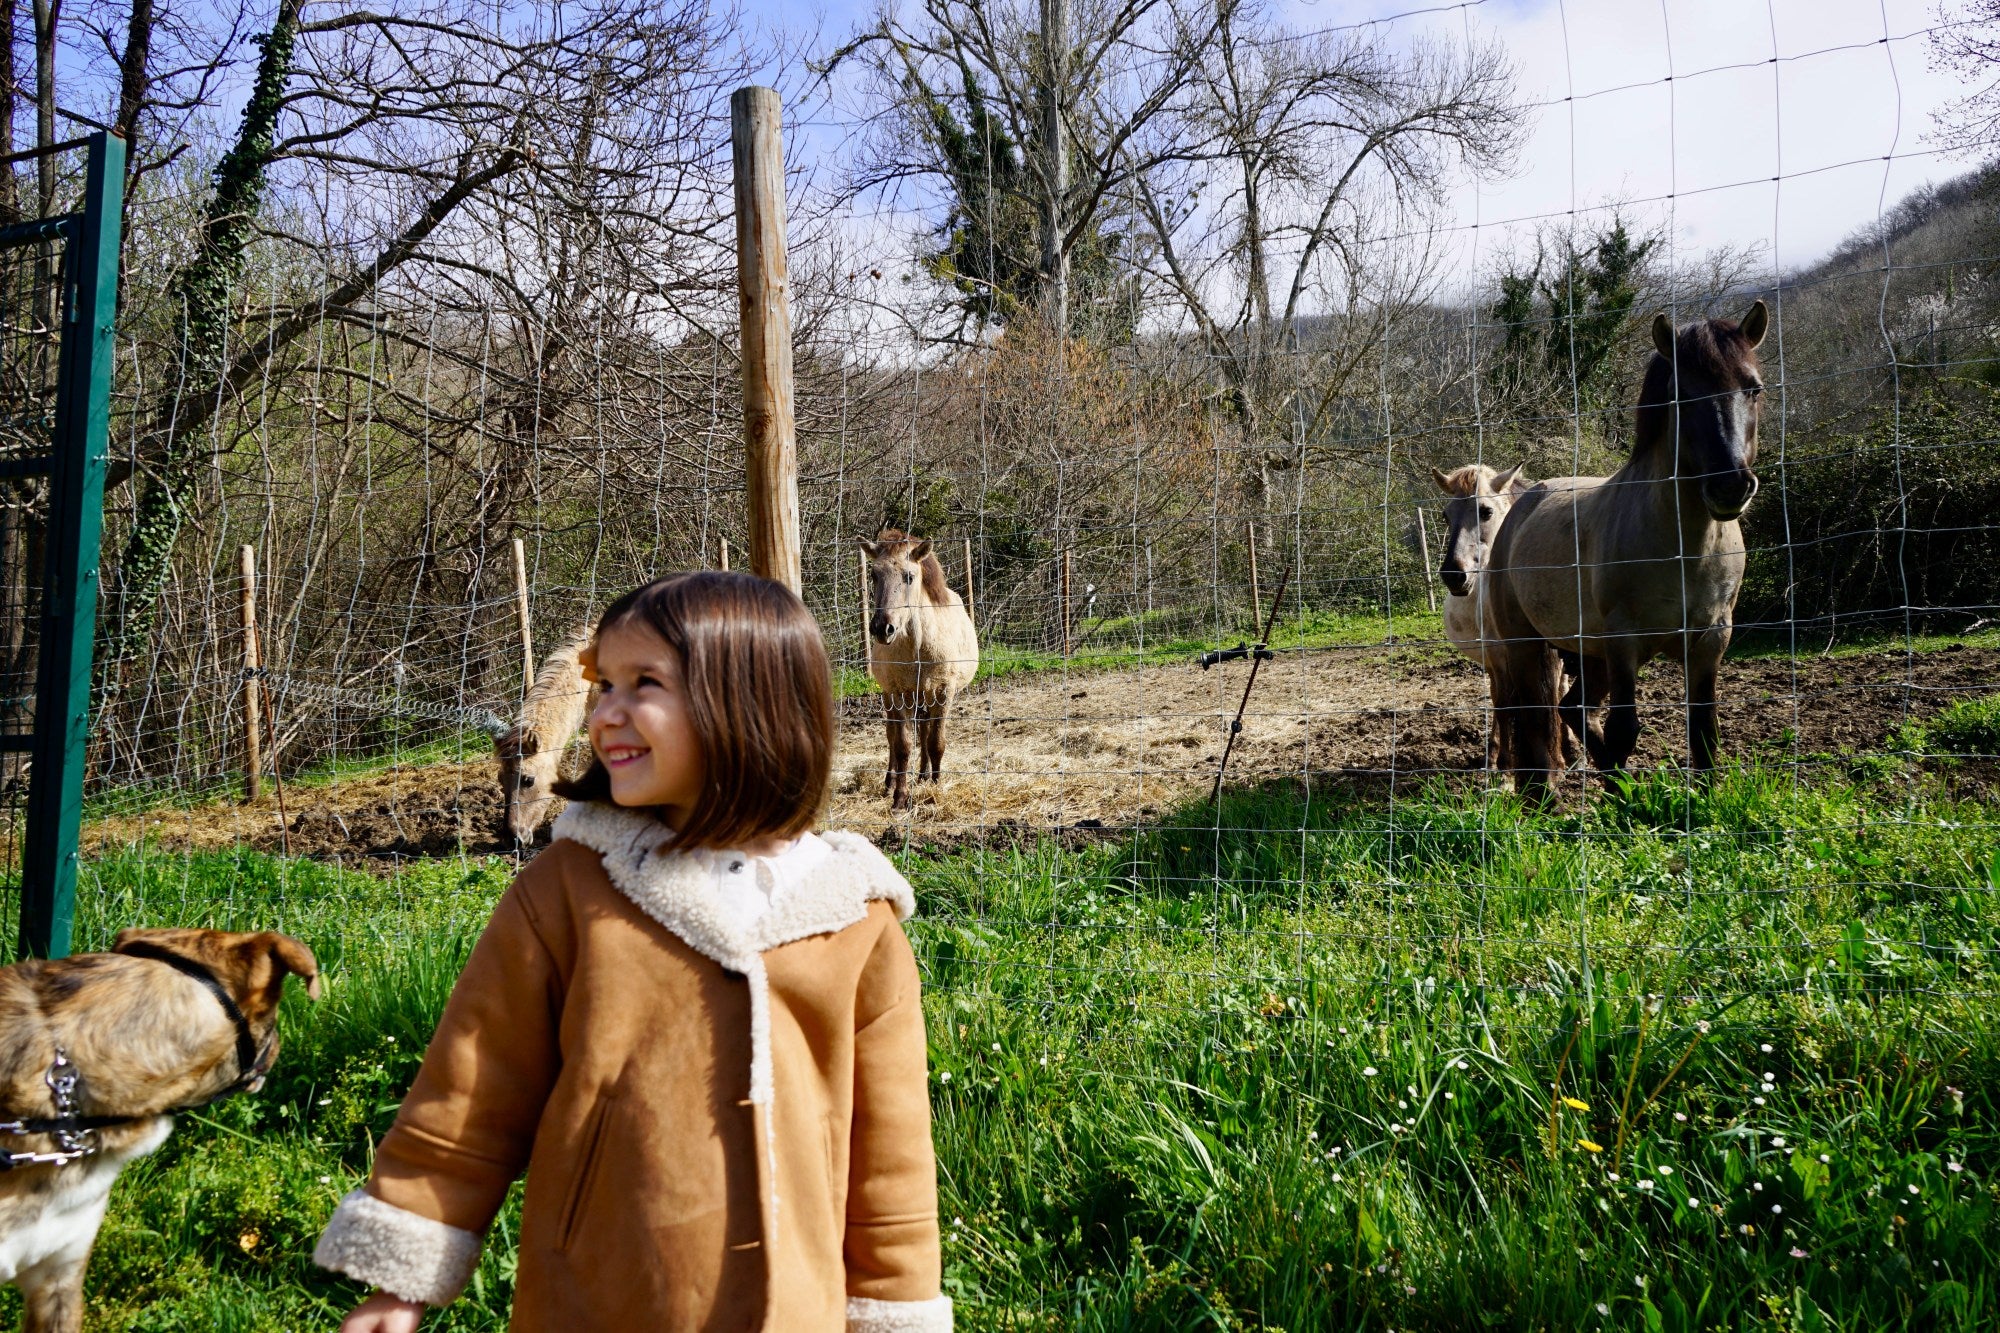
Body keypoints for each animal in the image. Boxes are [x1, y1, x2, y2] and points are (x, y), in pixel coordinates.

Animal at [864, 528, 980, 808]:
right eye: (874, 574)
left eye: (909, 576)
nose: (882, 628)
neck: (919, 646)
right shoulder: (898, 693)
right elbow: (902, 746)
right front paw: (899, 798)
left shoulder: (943, 692)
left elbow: (936, 742)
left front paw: (934, 788)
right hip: (894, 697)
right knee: (892, 736)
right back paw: (890, 781)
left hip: (925, 697)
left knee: (926, 730)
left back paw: (924, 775)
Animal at [1488, 300, 1768, 792]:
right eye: (1680, 394)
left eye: (1752, 388)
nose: (1730, 486)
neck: (1685, 550)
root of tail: (1521, 506)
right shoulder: (1624, 643)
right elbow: (1624, 730)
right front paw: (1622, 798)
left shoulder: (1710, 641)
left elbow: (1704, 731)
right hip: (1528, 645)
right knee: (1536, 721)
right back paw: (1544, 794)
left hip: (1588, 653)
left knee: (1572, 708)